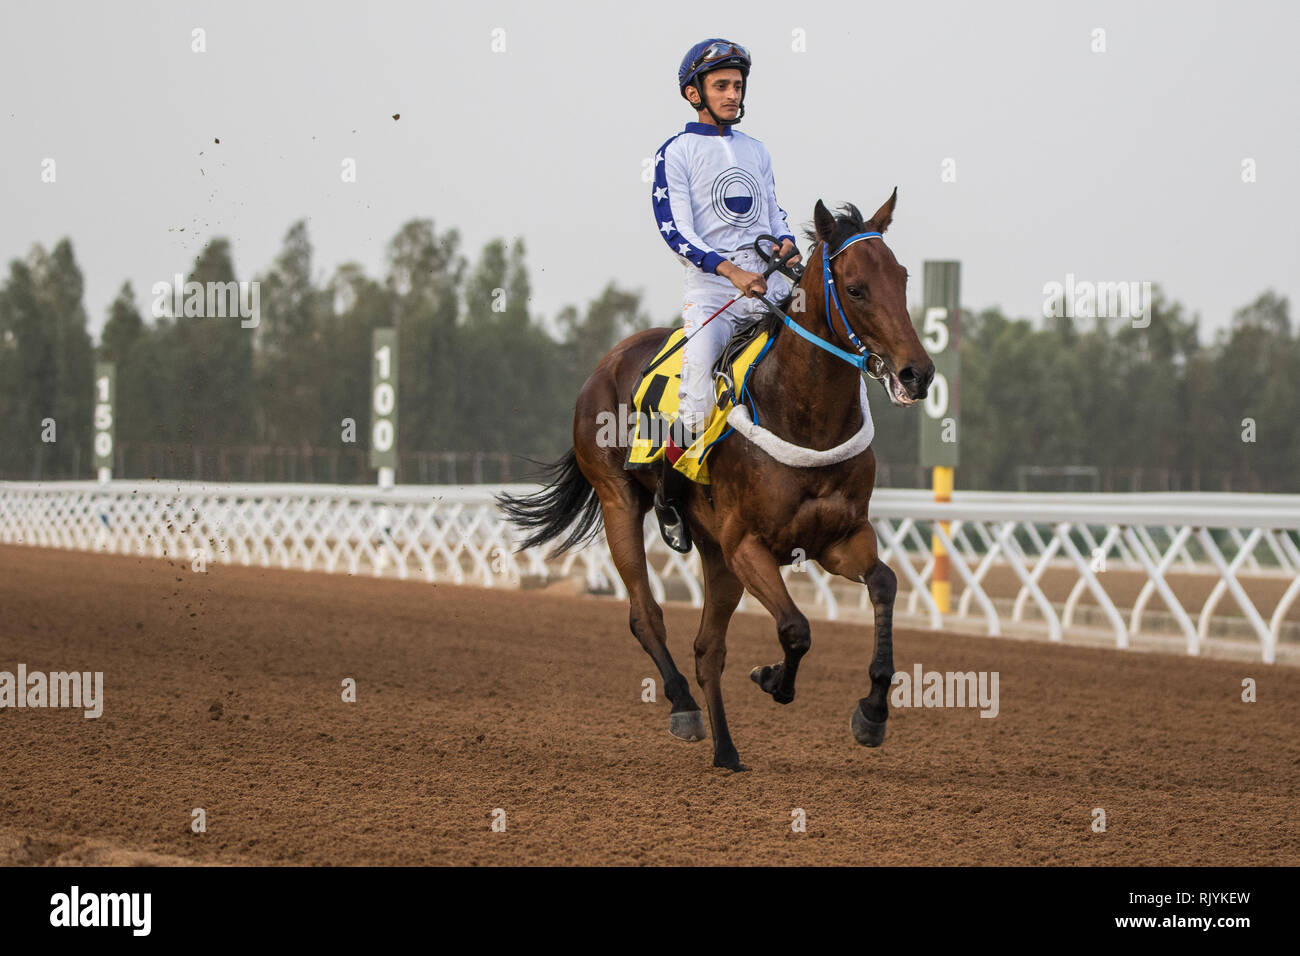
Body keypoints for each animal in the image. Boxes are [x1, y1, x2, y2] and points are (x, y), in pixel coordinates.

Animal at [496, 191, 935, 775]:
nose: (917, 374)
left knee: (708, 648)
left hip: (713, 551)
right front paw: (773, 679)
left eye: (903, 278)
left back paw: (727, 752)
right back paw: (683, 705)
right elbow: (796, 628)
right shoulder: (747, 544)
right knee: (646, 614)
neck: (803, 415)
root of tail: (607, 361)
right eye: (857, 288)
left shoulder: (838, 538)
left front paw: (872, 711)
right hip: (620, 503)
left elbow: (884, 584)